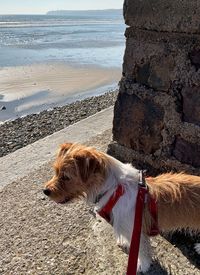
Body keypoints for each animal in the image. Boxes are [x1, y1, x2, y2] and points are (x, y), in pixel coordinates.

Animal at [43, 143, 200, 272]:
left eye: (66, 177)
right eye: (56, 171)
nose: (45, 191)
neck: (114, 189)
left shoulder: (135, 229)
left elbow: (141, 250)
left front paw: (142, 266)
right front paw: (125, 242)